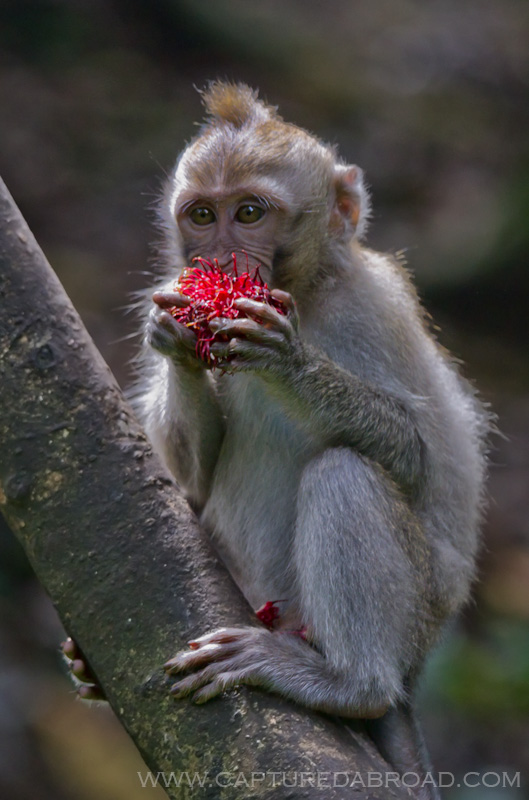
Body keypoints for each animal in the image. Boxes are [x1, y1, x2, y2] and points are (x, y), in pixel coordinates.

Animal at [71, 82, 490, 797]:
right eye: (202, 215)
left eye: (249, 212)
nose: (219, 259)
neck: (308, 291)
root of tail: (412, 674)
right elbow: (194, 472)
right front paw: (174, 340)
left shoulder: (372, 309)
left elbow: (417, 456)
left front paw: (289, 363)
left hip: (412, 619)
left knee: (345, 472)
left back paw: (348, 684)